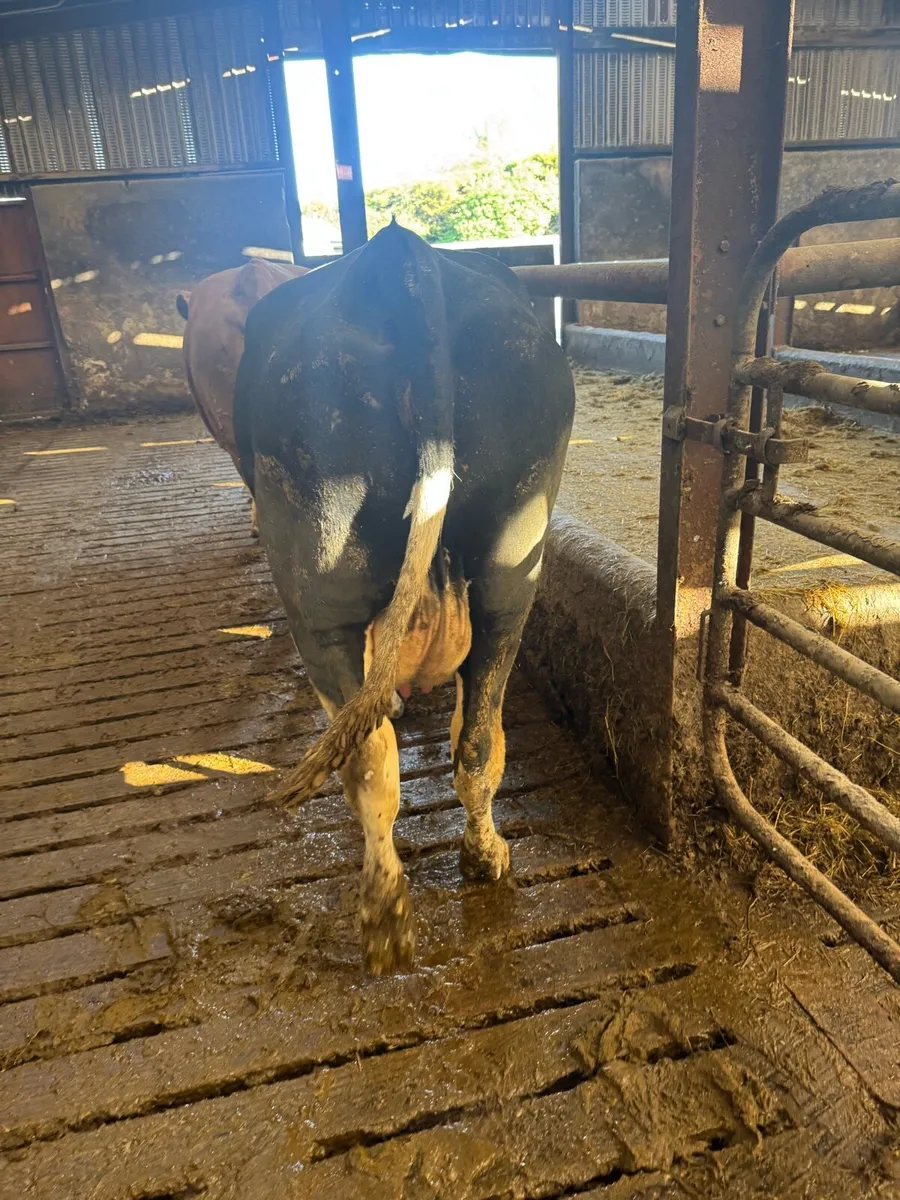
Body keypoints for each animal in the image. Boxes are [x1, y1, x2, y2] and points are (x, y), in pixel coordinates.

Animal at [234, 221, 575, 974]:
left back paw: (385, 919)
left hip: (317, 582)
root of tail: (400, 259)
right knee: (476, 740)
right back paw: (485, 858)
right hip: (512, 573)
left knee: (369, 763)